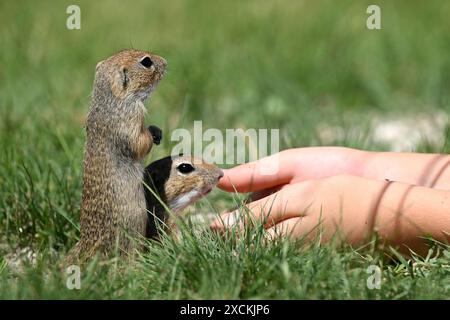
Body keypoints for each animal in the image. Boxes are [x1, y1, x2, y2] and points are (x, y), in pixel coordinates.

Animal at [69, 48, 168, 262]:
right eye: (146, 62)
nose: (165, 62)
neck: (110, 99)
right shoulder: (132, 117)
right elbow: (139, 143)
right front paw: (155, 132)